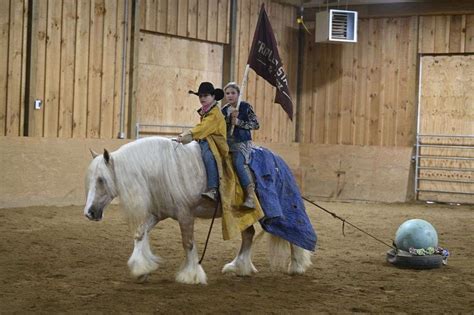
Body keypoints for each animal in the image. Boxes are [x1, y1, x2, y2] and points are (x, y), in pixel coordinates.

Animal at [84, 137, 314, 286]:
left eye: (101, 180)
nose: (89, 213)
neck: (160, 168)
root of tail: (277, 158)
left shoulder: (185, 215)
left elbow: (188, 243)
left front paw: (191, 275)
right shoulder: (158, 214)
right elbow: (140, 233)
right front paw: (141, 269)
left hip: (277, 211)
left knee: (294, 232)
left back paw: (297, 265)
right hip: (244, 215)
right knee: (249, 235)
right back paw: (239, 267)